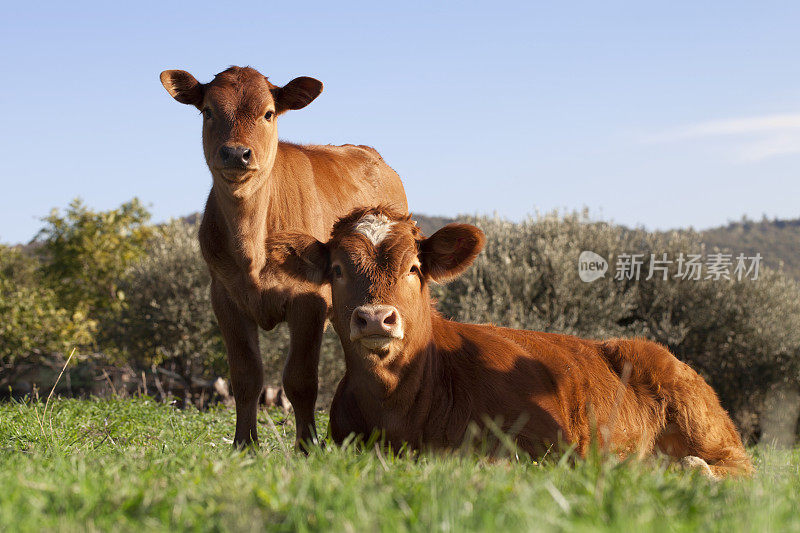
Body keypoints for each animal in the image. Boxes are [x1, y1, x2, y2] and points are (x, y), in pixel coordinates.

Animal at [158, 66, 406, 448]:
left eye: (268, 113)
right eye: (208, 111)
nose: (236, 153)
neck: (252, 247)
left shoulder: (309, 300)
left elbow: (301, 379)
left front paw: (308, 446)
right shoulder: (224, 297)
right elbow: (246, 377)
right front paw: (244, 445)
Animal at [268, 206, 756, 476]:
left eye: (413, 268)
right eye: (336, 269)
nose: (374, 318)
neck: (397, 406)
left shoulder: (547, 444)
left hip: (700, 419)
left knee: (739, 466)